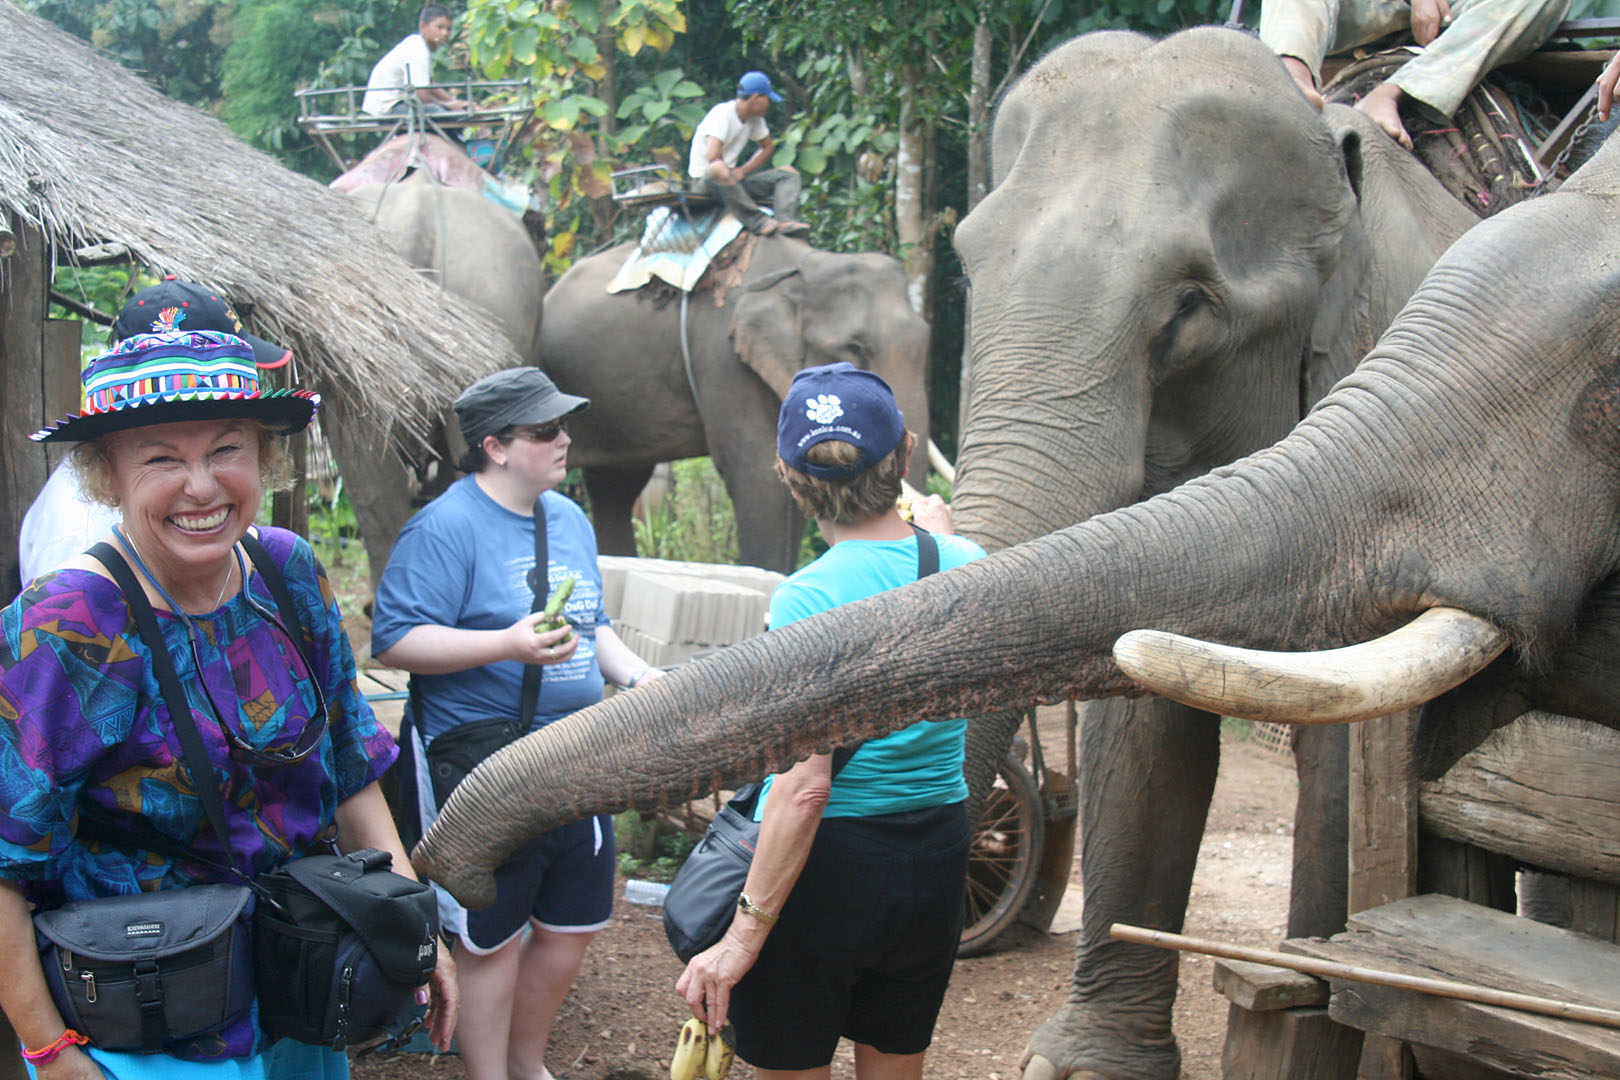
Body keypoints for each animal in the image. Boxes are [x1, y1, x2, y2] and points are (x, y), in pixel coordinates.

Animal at [539, 234, 930, 573]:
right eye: (854, 347)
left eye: (926, 338)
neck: (802, 266)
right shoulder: (723, 357)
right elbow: (760, 480)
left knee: (615, 487)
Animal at [943, 26, 1481, 1077]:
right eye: (967, 276)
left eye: (1189, 307)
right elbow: (1140, 721)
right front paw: (1086, 1068)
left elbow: (1346, 750)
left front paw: (1309, 1010)